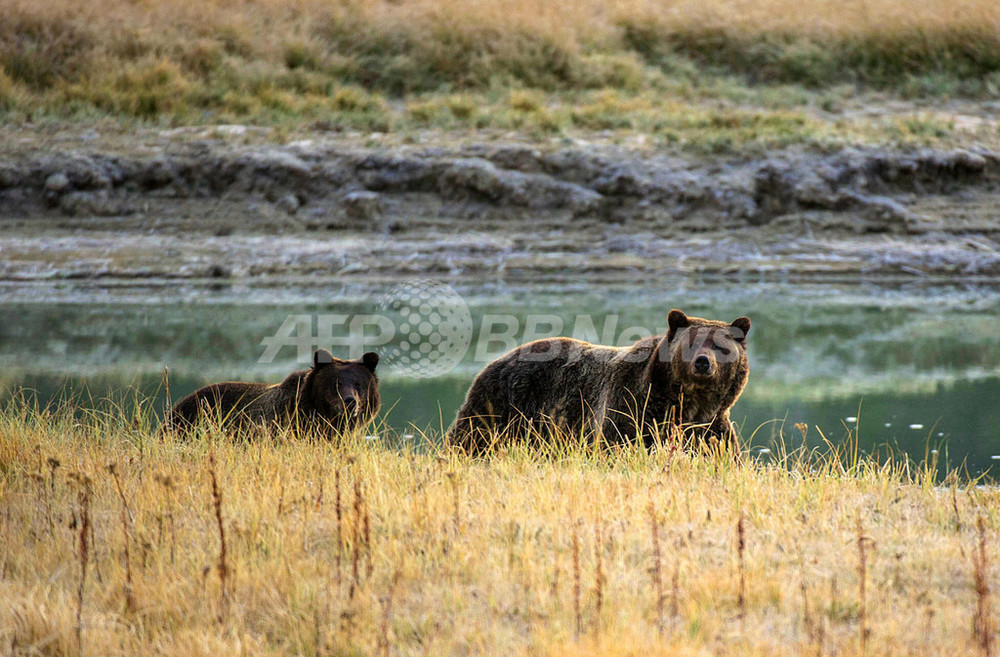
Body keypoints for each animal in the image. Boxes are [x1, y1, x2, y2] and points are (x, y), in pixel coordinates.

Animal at [448, 310, 752, 454]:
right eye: (691, 342)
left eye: (720, 346)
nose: (703, 362)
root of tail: (493, 361)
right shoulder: (631, 409)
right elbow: (619, 444)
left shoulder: (711, 428)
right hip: (500, 406)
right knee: (470, 440)